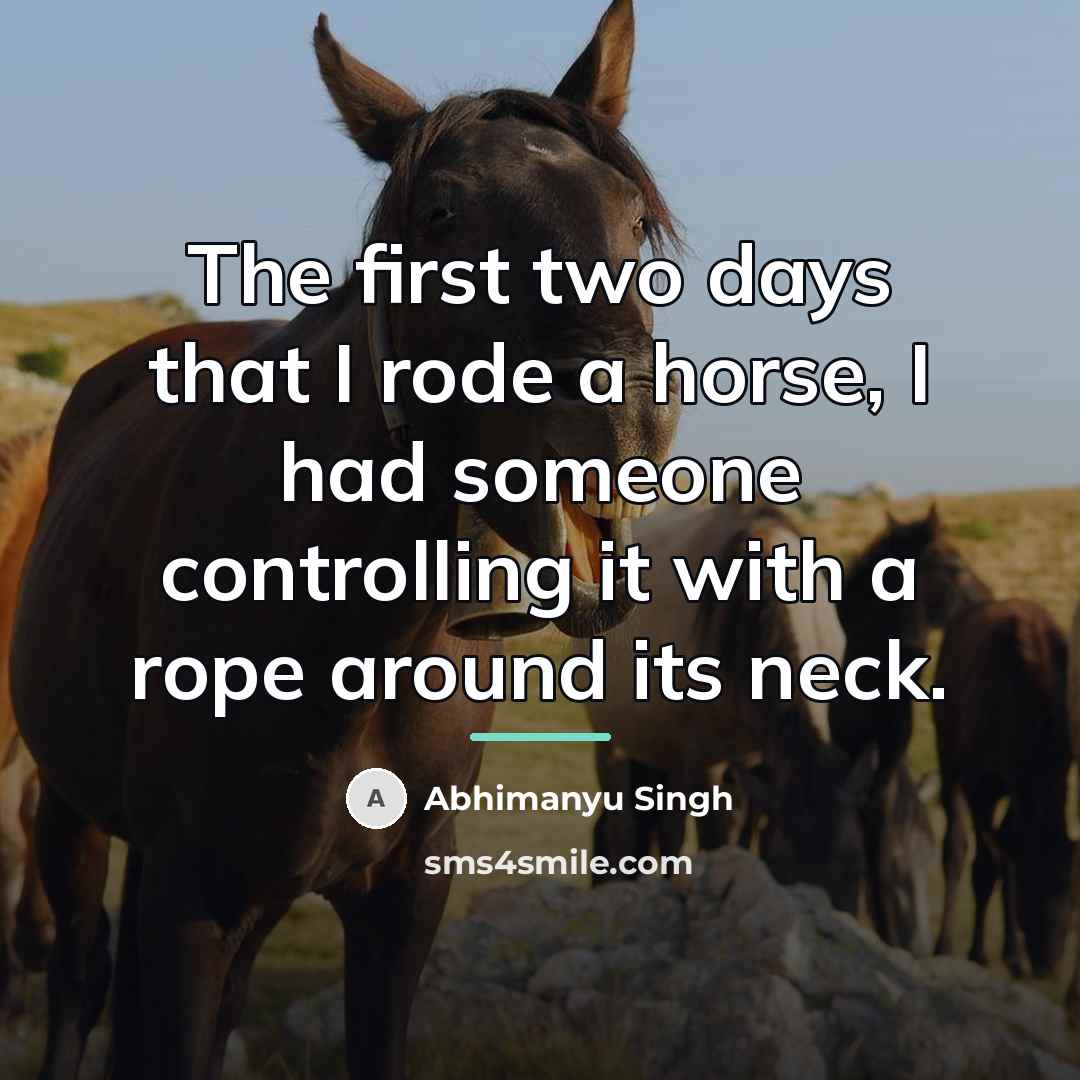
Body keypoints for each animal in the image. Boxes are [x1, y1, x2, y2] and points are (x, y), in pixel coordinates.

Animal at [12, 3, 681, 1076]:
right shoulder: (193, 902)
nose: (623, 416)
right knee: (80, 977)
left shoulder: (400, 907)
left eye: (634, 215)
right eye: (442, 215)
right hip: (75, 815)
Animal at [587, 503, 878, 915]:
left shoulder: (763, 758)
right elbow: (714, 838)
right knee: (623, 827)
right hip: (613, 742)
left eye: (859, 869)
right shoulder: (705, 761)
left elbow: (746, 833)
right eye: (783, 870)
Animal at [934, 596, 1073, 979]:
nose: (1048, 965)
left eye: (1074, 900)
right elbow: (987, 863)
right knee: (954, 846)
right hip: (947, 751)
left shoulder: (1021, 786)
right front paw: (975, 951)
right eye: (1033, 890)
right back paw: (944, 943)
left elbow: (1007, 853)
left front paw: (1012, 954)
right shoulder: (978, 780)